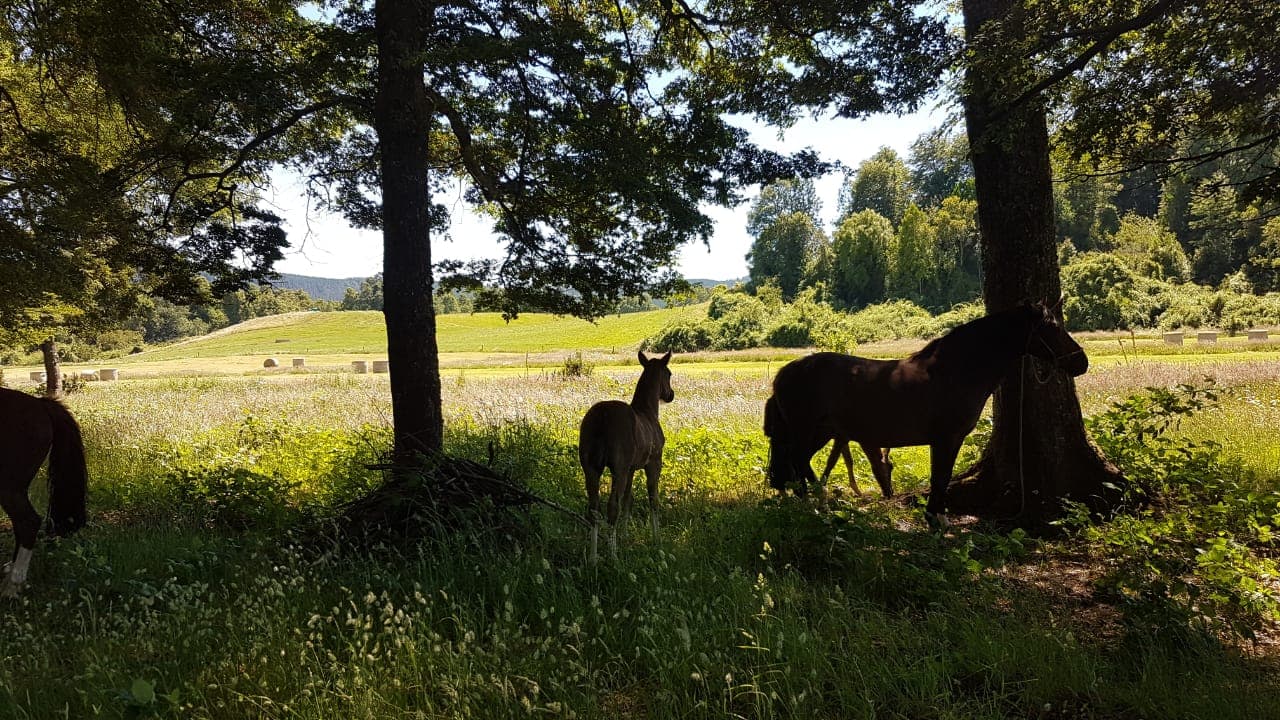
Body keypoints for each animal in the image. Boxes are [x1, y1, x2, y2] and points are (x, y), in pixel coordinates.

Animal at [579, 350, 674, 564]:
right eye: (669, 374)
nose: (670, 395)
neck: (648, 412)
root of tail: (602, 416)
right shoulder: (653, 464)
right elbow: (653, 500)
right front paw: (657, 539)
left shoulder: (631, 469)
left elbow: (628, 501)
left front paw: (624, 536)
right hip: (618, 469)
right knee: (611, 507)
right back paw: (613, 556)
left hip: (591, 468)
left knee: (593, 508)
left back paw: (593, 557)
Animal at [764, 301, 1087, 526]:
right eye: (1052, 327)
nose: (1081, 362)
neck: (956, 371)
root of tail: (785, 373)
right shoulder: (947, 438)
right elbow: (940, 477)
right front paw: (936, 519)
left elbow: (940, 476)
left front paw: (935, 516)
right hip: (807, 429)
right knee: (797, 461)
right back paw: (814, 503)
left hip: (822, 432)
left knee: (797, 463)